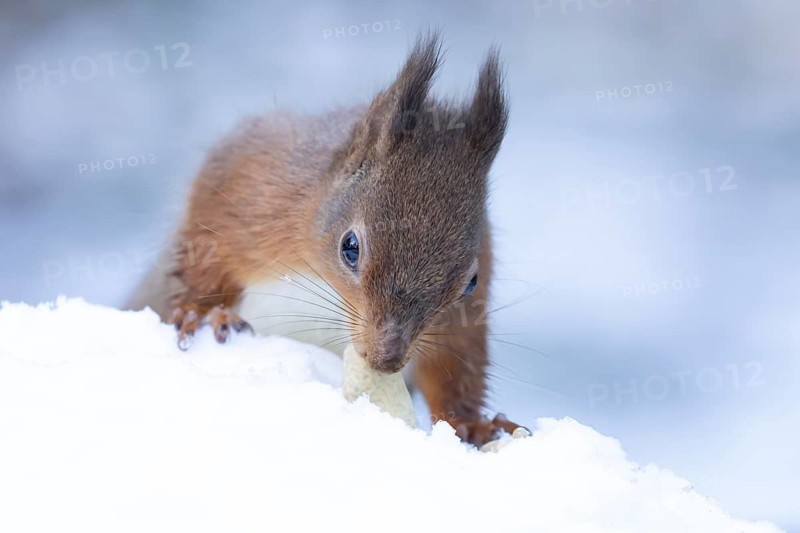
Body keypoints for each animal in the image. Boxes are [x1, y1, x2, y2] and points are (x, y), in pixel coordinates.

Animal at [126, 32, 524, 446]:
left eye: (471, 282)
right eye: (350, 248)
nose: (386, 359)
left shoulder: (467, 304)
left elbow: (457, 364)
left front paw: (474, 426)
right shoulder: (241, 184)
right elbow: (202, 258)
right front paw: (202, 314)